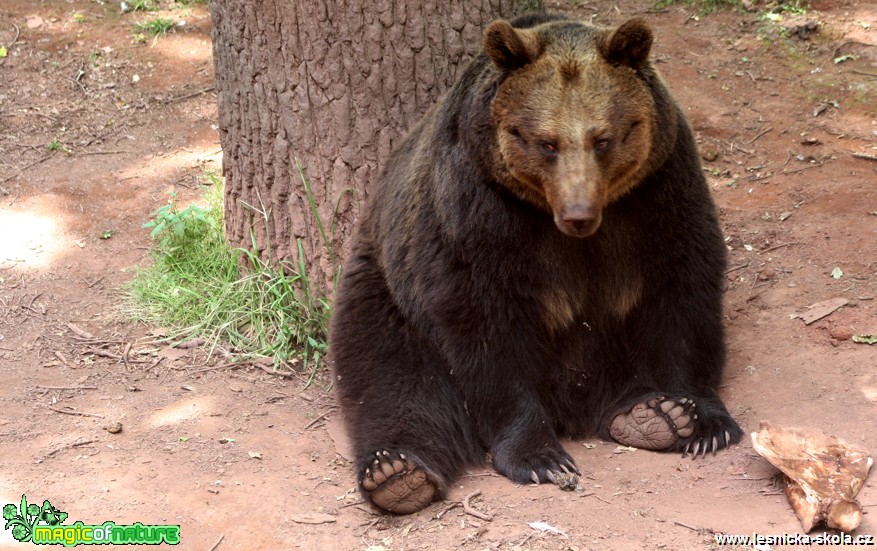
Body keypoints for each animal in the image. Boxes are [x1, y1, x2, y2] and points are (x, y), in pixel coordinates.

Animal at [328, 12, 740, 516]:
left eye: (603, 139)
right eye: (547, 143)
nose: (578, 214)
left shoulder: (660, 191)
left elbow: (683, 288)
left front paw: (698, 417)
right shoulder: (480, 208)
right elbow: (486, 324)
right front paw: (539, 456)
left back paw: (648, 414)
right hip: (385, 294)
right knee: (394, 381)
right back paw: (397, 472)